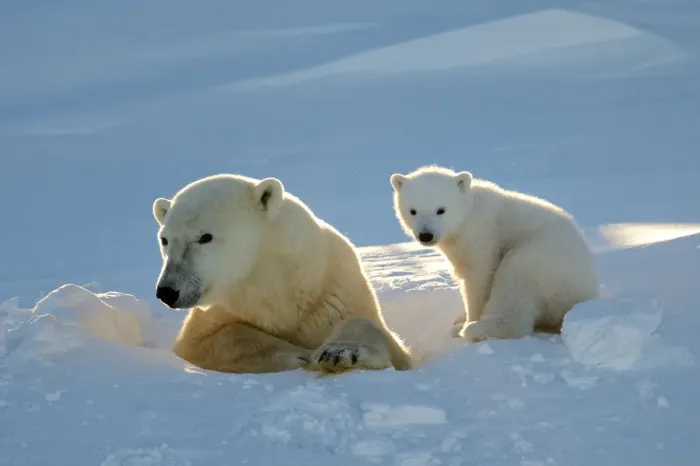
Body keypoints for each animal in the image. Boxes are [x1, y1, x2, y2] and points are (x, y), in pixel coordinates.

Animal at [152, 173, 412, 374]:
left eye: (205, 237)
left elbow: (382, 337)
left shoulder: (332, 291)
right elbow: (207, 341)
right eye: (165, 239)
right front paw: (299, 355)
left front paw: (339, 352)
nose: (167, 291)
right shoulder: (220, 311)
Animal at [389, 165, 599, 343]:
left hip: (543, 258)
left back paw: (476, 329)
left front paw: (467, 321)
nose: (426, 235)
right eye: (413, 210)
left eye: (441, 210)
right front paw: (461, 318)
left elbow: (478, 279)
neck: (468, 216)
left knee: (514, 283)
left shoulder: (482, 238)